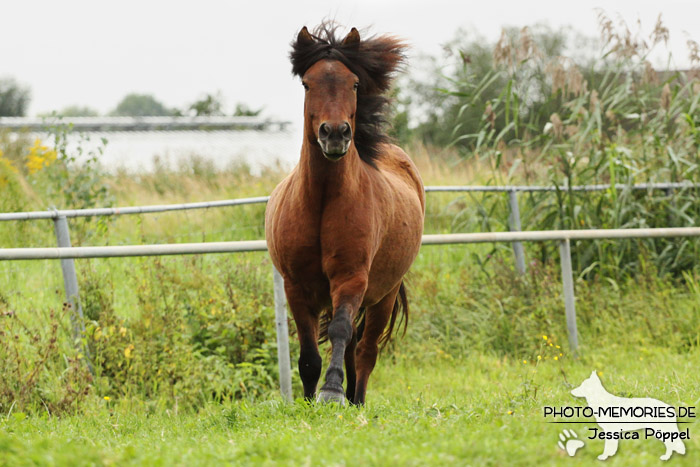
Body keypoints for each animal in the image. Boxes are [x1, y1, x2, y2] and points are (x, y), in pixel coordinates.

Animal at [264, 24, 424, 406]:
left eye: (353, 83)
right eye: (307, 84)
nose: (335, 134)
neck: (322, 201)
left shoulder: (350, 279)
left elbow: (339, 331)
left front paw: (332, 391)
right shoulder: (296, 286)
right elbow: (308, 353)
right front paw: (310, 398)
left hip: (383, 294)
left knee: (365, 350)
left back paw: (357, 399)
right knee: (353, 346)